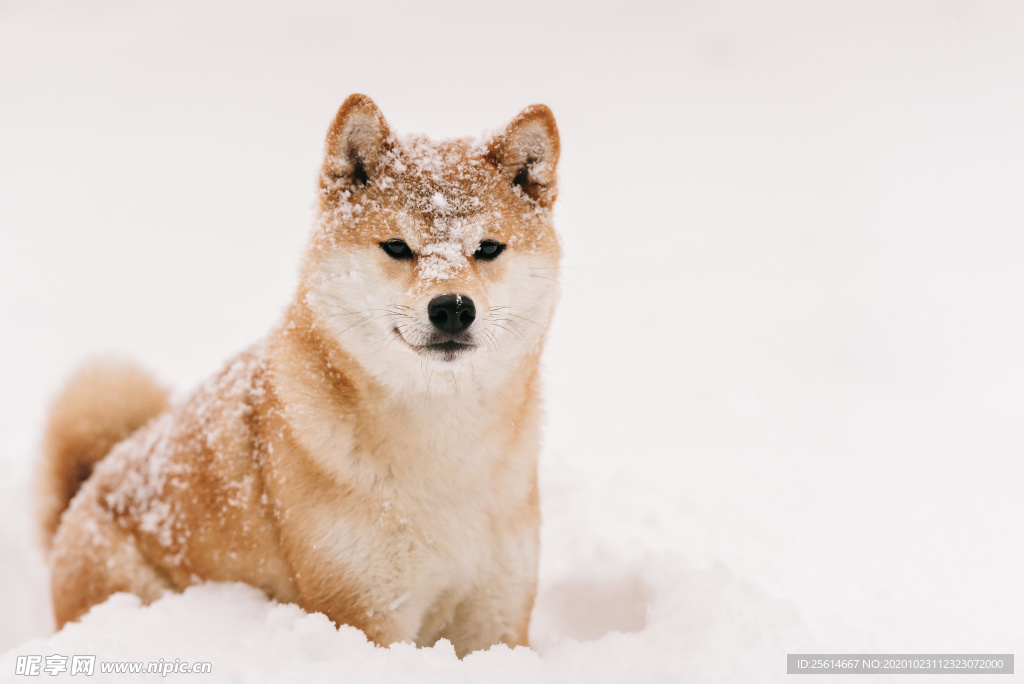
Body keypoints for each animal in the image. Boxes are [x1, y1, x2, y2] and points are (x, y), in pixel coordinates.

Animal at [37, 93, 561, 655]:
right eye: (397, 247)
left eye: (488, 248)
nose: (452, 308)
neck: (443, 453)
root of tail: (80, 495)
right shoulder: (364, 611)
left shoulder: (496, 616)